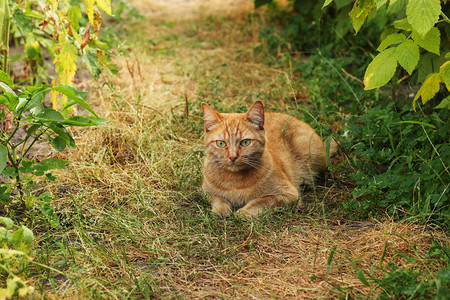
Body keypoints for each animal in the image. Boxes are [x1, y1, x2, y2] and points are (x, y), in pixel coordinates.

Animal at [202, 102, 336, 217]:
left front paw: (244, 213)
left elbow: (260, 202)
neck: (234, 182)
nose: (233, 156)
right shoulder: (206, 191)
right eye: (221, 143)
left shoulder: (288, 195)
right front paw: (221, 209)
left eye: (245, 142)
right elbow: (219, 199)